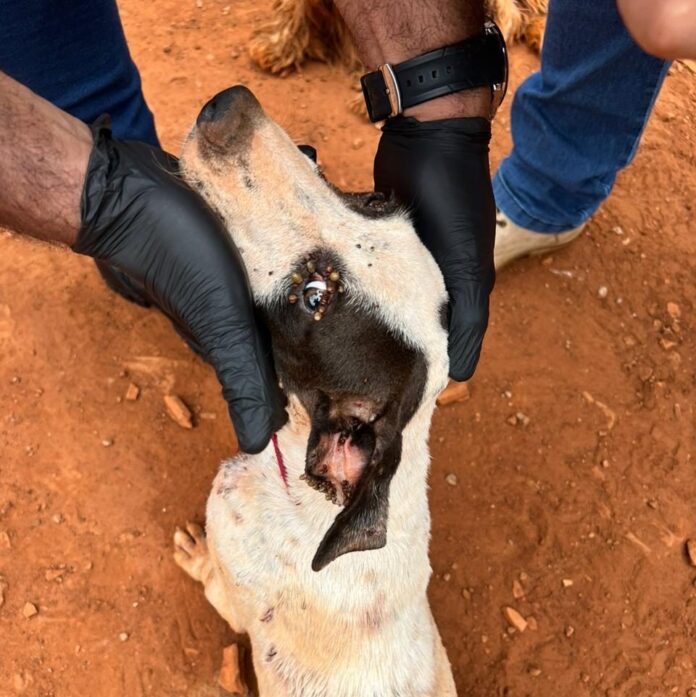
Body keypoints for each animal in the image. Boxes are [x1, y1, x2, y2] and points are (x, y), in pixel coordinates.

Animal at [174, 87, 456, 696]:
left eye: (314, 296)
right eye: (373, 198)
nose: (229, 103)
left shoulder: (231, 588)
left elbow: (209, 574)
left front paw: (191, 550)